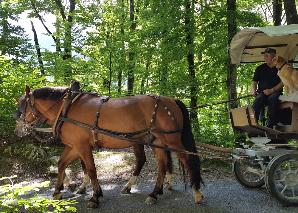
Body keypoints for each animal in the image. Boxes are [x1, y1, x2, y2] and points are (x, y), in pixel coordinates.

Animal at [15, 85, 204, 207]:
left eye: (22, 104)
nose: (17, 130)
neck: (66, 108)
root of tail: (171, 100)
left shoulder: (82, 147)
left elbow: (91, 170)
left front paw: (95, 197)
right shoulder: (74, 146)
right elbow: (61, 164)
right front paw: (57, 191)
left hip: (172, 140)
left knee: (188, 160)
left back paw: (197, 193)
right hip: (156, 141)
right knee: (162, 165)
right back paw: (153, 193)